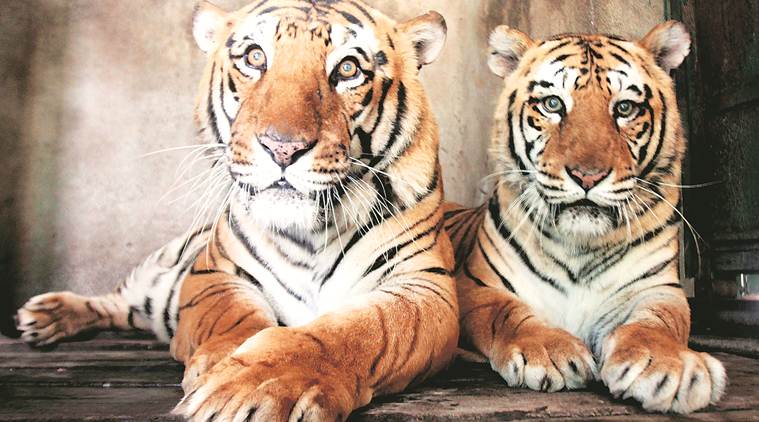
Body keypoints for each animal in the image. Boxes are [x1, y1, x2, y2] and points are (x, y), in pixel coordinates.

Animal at [14, 1, 460, 420]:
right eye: (254, 57)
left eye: (348, 69)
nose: (283, 147)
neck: (310, 235)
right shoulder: (213, 272)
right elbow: (233, 317)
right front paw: (219, 364)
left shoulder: (424, 287)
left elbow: (358, 331)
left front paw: (253, 387)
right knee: (115, 301)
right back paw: (45, 315)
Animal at [445, 21, 727, 413]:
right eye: (552, 104)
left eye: (625, 108)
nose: (588, 176)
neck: (579, 245)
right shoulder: (477, 287)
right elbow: (505, 315)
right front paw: (550, 351)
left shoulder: (657, 289)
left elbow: (657, 324)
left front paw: (671, 367)